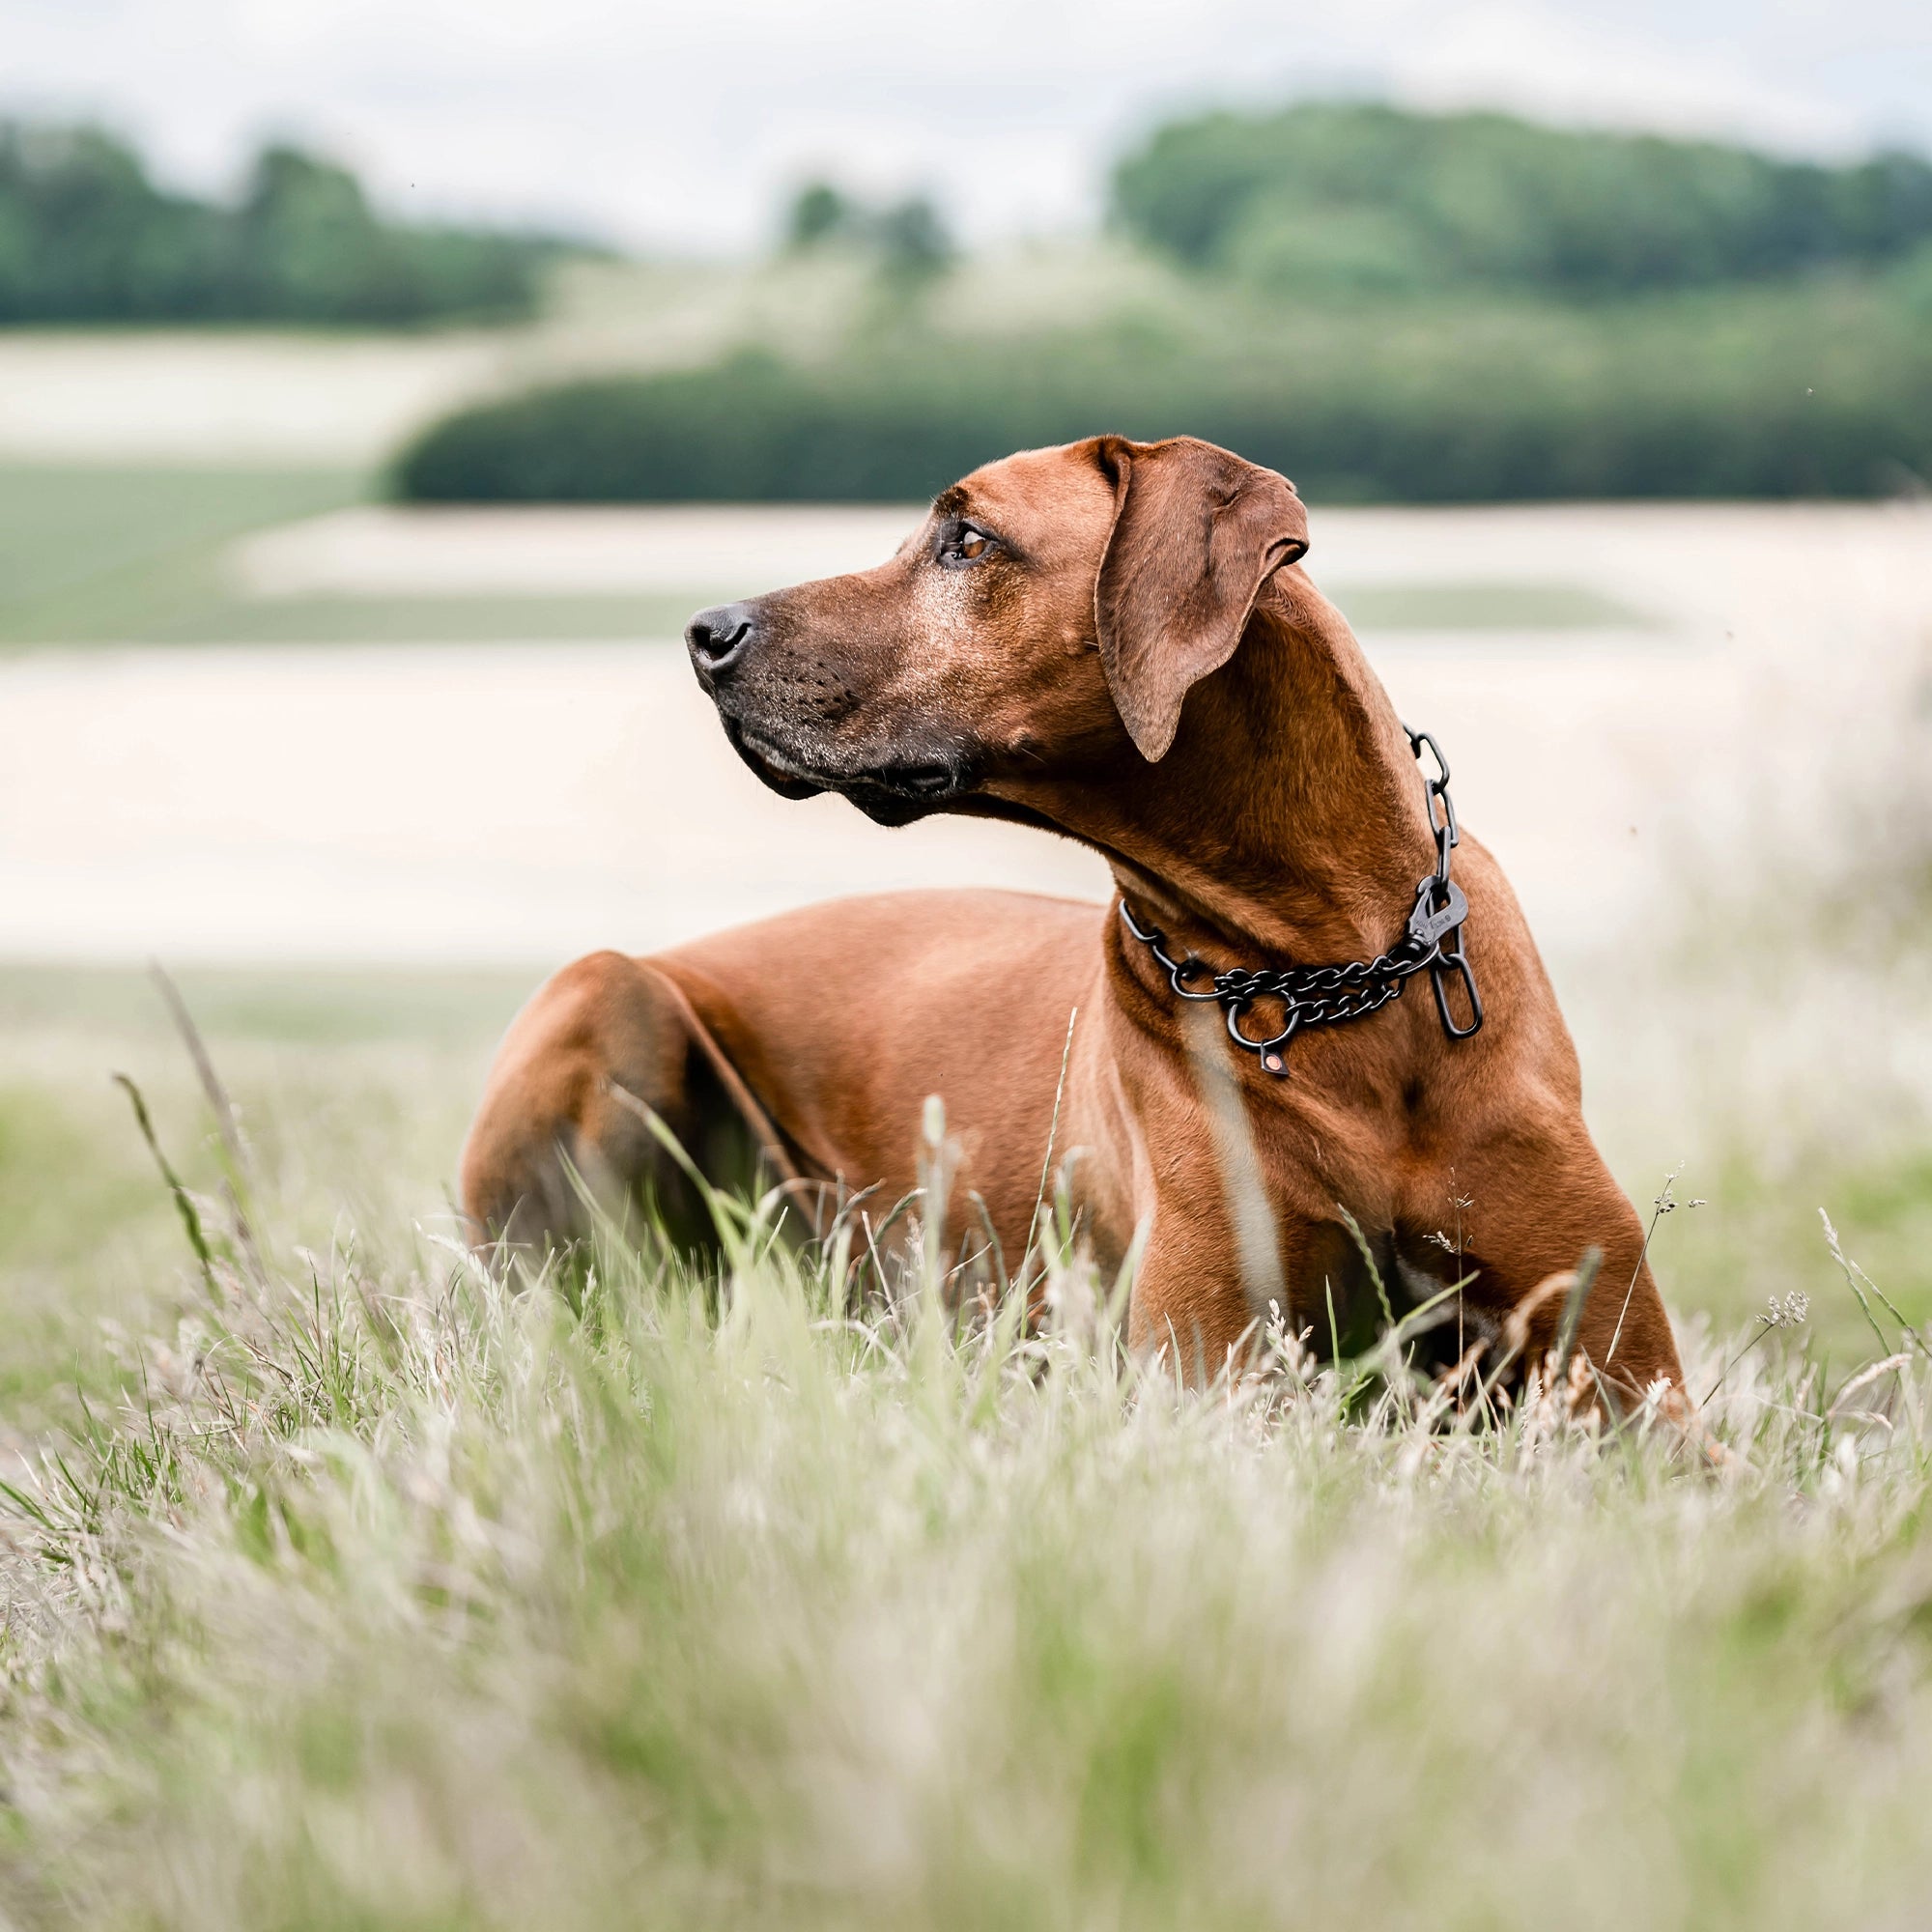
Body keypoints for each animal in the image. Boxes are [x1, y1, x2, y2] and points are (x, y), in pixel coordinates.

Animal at [460, 439, 1685, 1406]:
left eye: (966, 540)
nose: (704, 633)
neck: (1327, 969)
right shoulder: (1212, 1377)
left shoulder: (1633, 1397)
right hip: (608, 990)